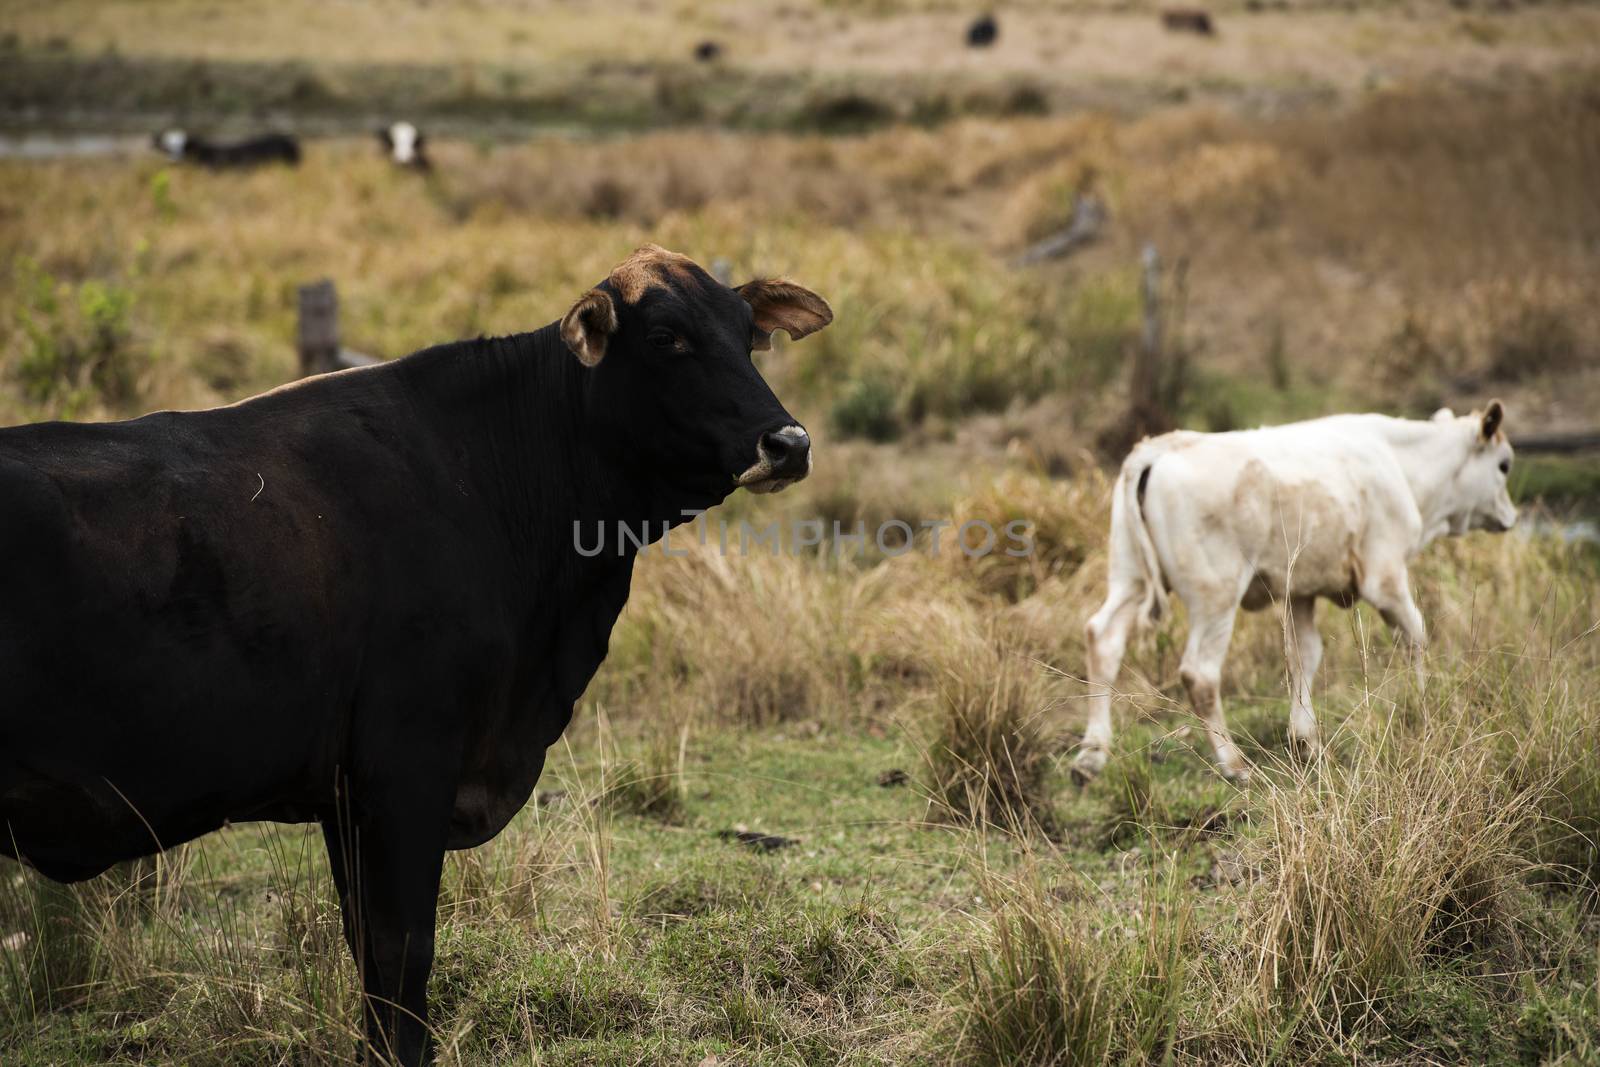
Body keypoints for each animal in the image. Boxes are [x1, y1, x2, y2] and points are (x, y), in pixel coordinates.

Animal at [3, 244, 838, 1067]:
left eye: (747, 333)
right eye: (668, 339)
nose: (788, 443)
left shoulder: (346, 794)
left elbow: (367, 949)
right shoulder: (406, 766)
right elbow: (402, 951)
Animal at [1075, 404, 1510, 780]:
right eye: (1504, 464)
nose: (1510, 516)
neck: (1401, 461)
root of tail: (1164, 445)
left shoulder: (1299, 590)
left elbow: (1304, 655)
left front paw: (1306, 742)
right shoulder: (1385, 577)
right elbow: (1414, 636)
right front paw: (1427, 706)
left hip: (1128, 577)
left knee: (1103, 639)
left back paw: (1091, 757)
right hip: (1215, 596)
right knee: (1200, 673)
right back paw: (1233, 764)